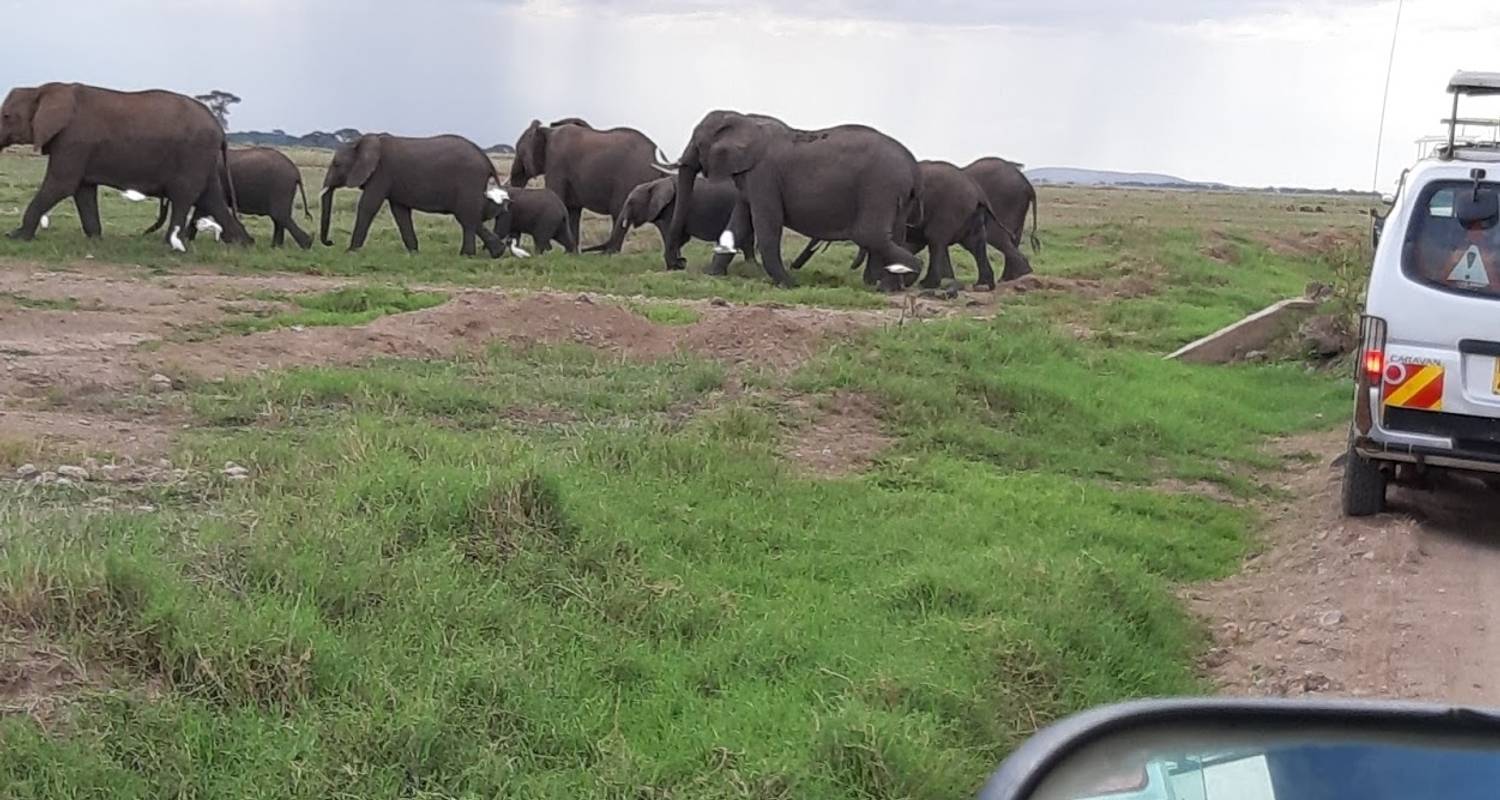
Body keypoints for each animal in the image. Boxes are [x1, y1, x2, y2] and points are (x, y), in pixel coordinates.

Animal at [0, 81, 249, 247]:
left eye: (7, 116)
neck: (42, 88)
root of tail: (220, 129)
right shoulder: (78, 147)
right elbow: (83, 190)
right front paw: (95, 240)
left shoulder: (74, 141)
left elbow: (61, 185)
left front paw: (16, 237)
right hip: (203, 158)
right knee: (211, 196)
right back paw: (242, 243)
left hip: (193, 153)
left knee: (184, 195)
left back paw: (170, 245)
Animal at [144, 144, 312, 247]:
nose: (145, 232)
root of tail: (297, 173)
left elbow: (202, 209)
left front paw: (186, 240)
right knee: (279, 218)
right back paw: (276, 247)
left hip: (280, 187)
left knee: (280, 215)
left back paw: (305, 245)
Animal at [316, 131, 510, 255]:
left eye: (336, 165)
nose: (330, 242)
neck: (362, 141)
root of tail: (487, 160)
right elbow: (400, 212)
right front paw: (414, 253)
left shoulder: (381, 173)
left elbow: (368, 205)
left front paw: (350, 252)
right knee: (469, 217)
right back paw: (497, 252)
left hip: (468, 180)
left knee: (466, 217)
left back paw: (467, 255)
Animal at [510, 115, 663, 250]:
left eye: (519, 152)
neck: (547, 131)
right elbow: (572, 211)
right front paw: (572, 255)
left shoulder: (556, 164)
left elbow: (557, 198)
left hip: (630, 179)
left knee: (619, 214)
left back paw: (609, 254)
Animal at [660, 111, 924, 288]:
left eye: (697, 143)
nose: (680, 263)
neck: (745, 119)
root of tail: (913, 166)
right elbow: (738, 224)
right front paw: (712, 275)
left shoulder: (764, 175)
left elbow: (767, 225)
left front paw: (789, 285)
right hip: (895, 193)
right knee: (892, 234)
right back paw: (887, 288)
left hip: (880, 186)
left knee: (869, 234)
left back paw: (912, 273)